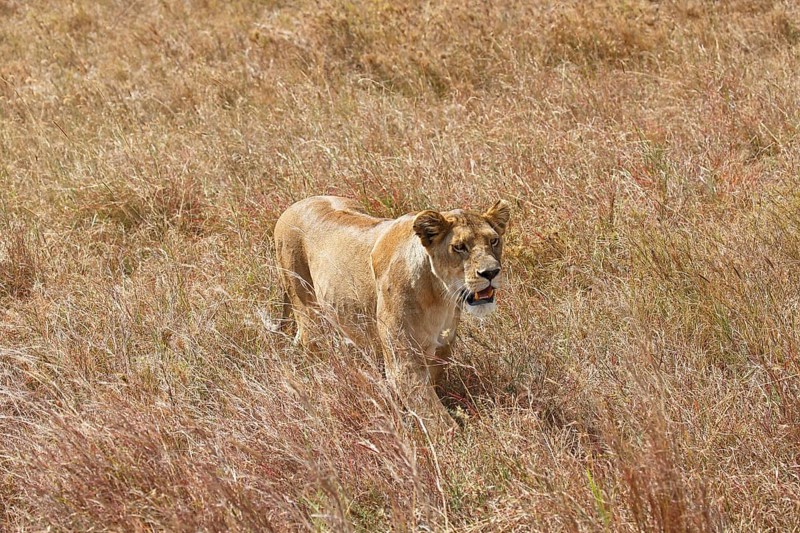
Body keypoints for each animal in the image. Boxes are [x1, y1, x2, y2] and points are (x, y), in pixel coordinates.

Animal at [273, 196, 511, 437]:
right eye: (459, 247)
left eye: (494, 241)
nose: (491, 273)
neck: (439, 295)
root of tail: (296, 204)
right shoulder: (403, 361)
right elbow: (435, 416)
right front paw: (459, 441)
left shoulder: (441, 349)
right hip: (304, 303)